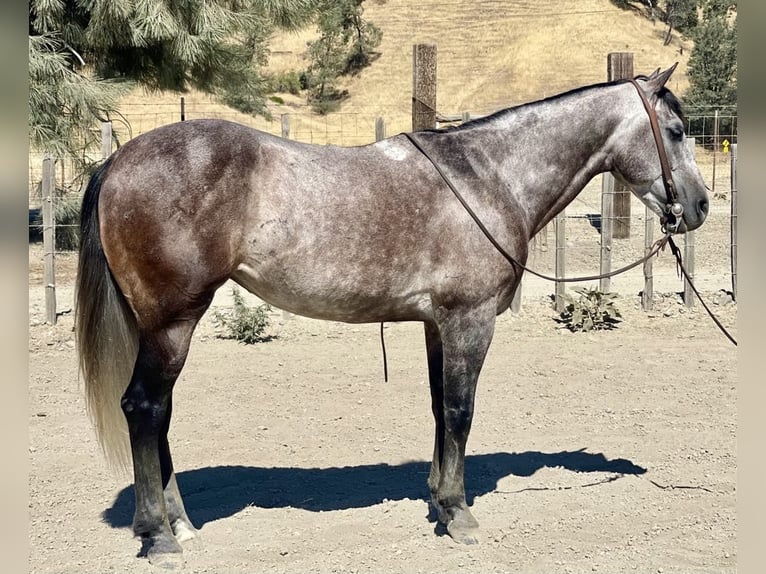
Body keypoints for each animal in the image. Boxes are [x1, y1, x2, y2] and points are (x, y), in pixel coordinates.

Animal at [75, 65, 708, 566]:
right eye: (676, 132)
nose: (699, 206)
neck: (491, 174)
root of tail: (120, 159)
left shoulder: (437, 325)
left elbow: (439, 409)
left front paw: (437, 501)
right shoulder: (469, 321)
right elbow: (459, 411)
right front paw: (458, 513)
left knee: (160, 415)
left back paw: (180, 523)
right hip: (172, 323)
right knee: (144, 408)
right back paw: (159, 536)